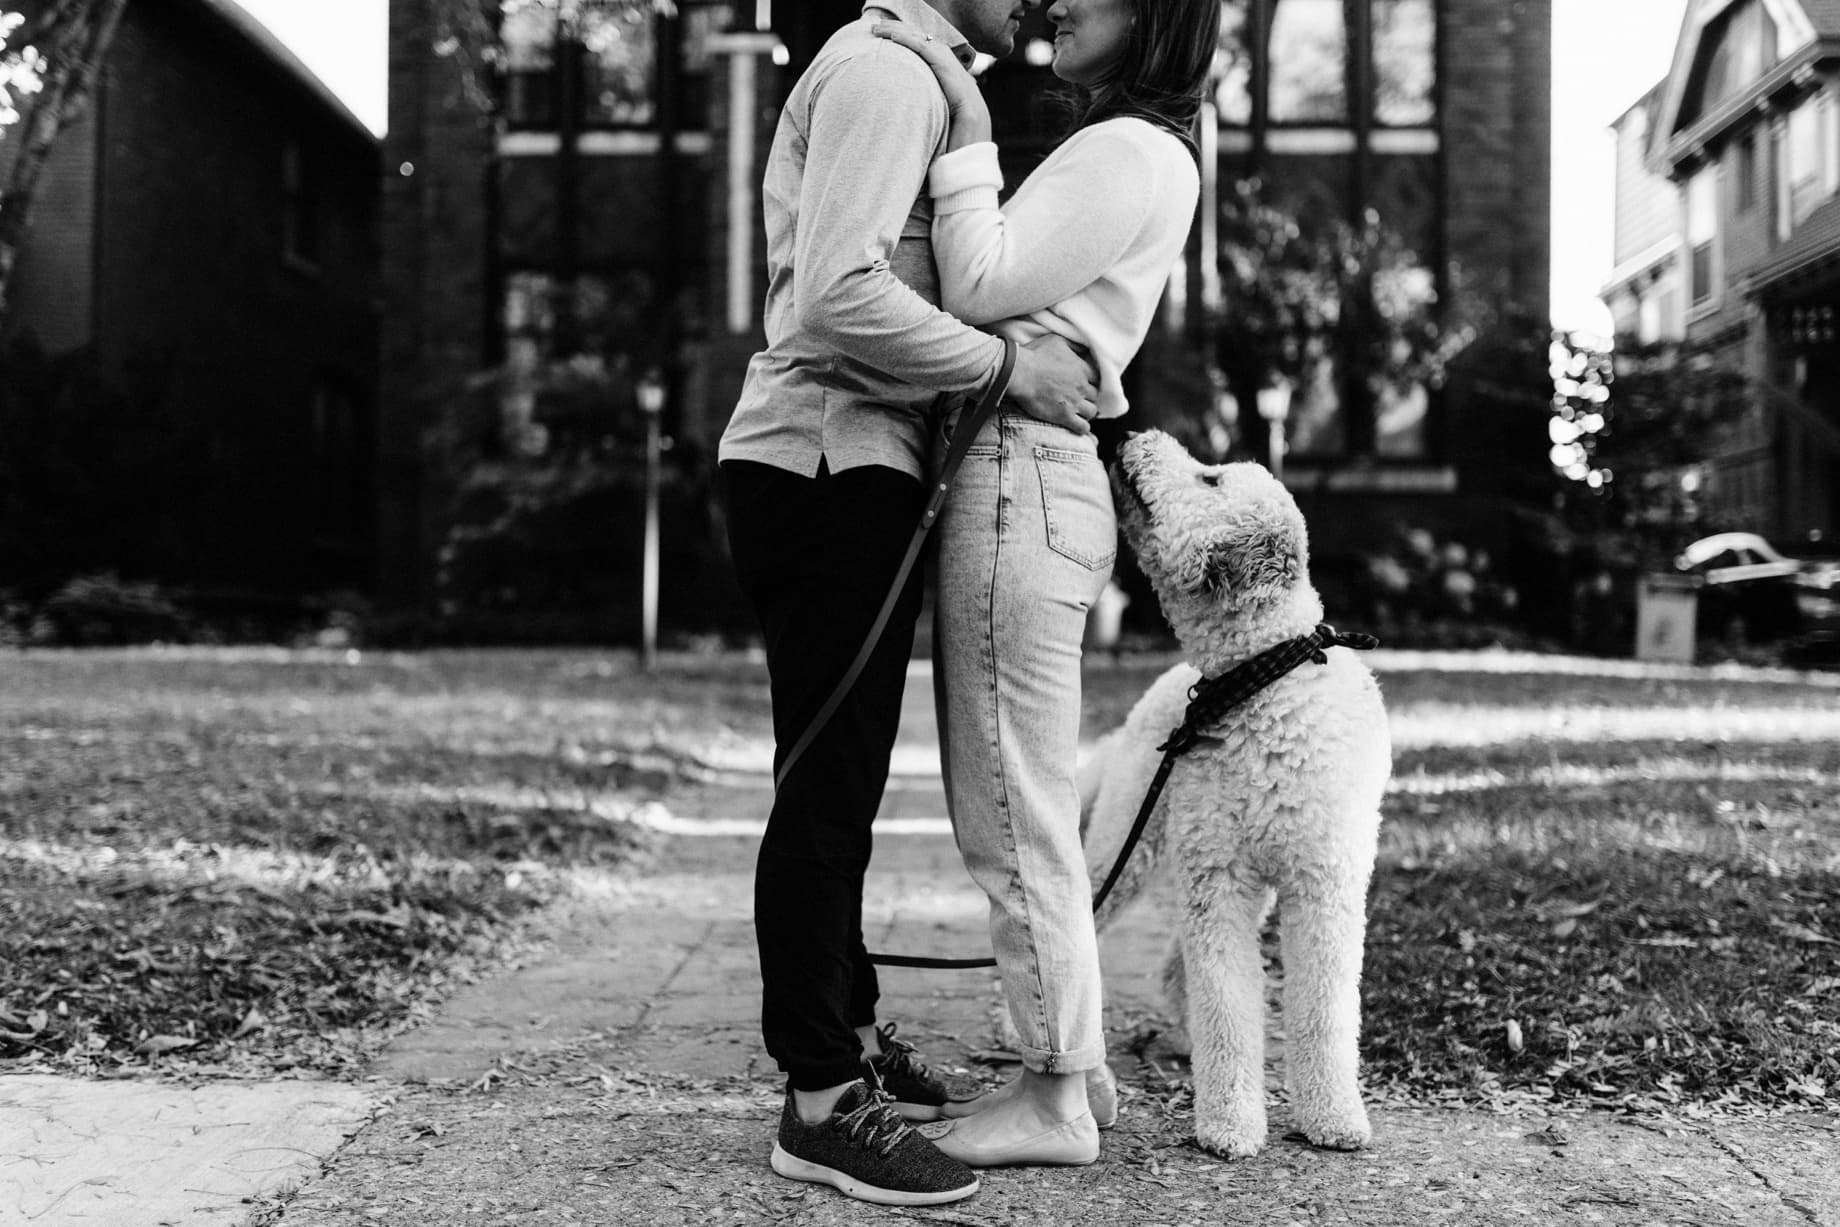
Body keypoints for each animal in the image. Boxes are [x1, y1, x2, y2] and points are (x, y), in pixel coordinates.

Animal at [1074, 434, 1383, 1162]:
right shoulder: (1218, 882)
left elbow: (1324, 1010)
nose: (1128, 436)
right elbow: (1227, 1005)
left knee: (1171, 968)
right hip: (1128, 846)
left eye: (1210, 478)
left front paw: (1333, 1116)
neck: (1261, 680)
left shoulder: (1323, 886)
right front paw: (1230, 1123)